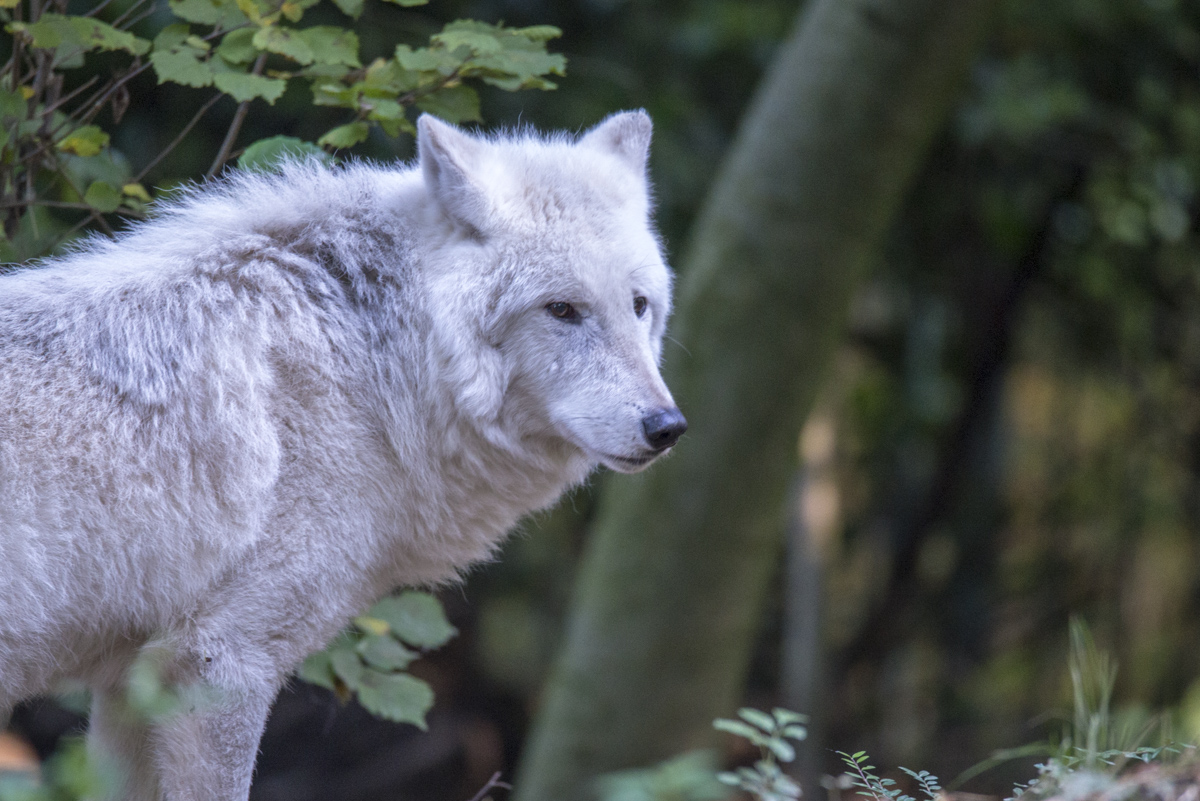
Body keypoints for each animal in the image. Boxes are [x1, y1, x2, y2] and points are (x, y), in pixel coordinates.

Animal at [0, 111, 685, 800]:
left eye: (638, 305)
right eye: (563, 309)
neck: (369, 367)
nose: (668, 427)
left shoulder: (131, 685)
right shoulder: (221, 663)